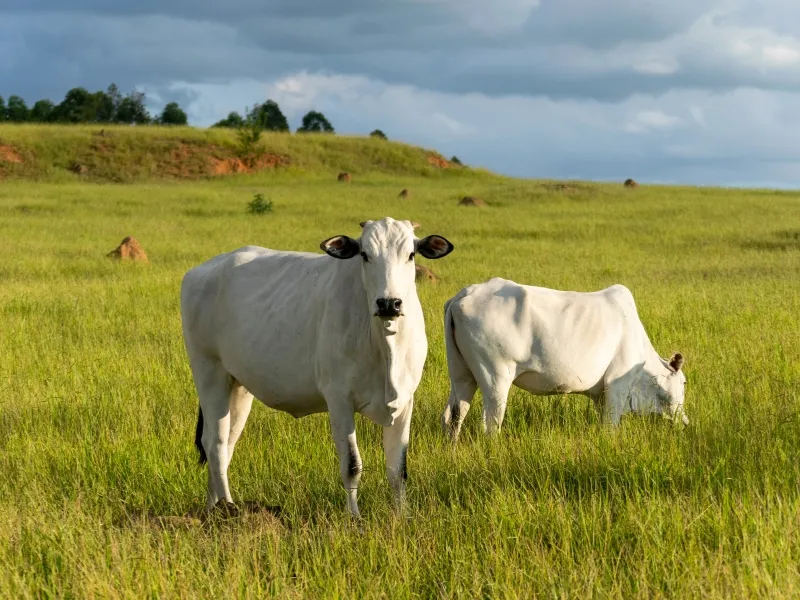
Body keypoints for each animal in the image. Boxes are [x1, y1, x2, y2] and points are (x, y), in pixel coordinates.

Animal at [183, 217, 456, 516]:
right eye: (364, 255)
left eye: (410, 255)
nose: (389, 303)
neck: (385, 345)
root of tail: (202, 270)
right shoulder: (339, 399)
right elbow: (352, 465)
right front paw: (354, 517)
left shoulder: (405, 400)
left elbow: (398, 469)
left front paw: (401, 515)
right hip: (209, 373)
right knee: (215, 444)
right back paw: (228, 509)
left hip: (239, 386)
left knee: (225, 443)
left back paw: (213, 508)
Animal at [438, 278, 688, 440]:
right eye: (684, 382)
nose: (685, 422)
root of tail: (465, 294)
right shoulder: (618, 384)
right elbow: (610, 426)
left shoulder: (601, 395)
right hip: (495, 377)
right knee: (490, 424)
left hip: (461, 374)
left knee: (453, 416)